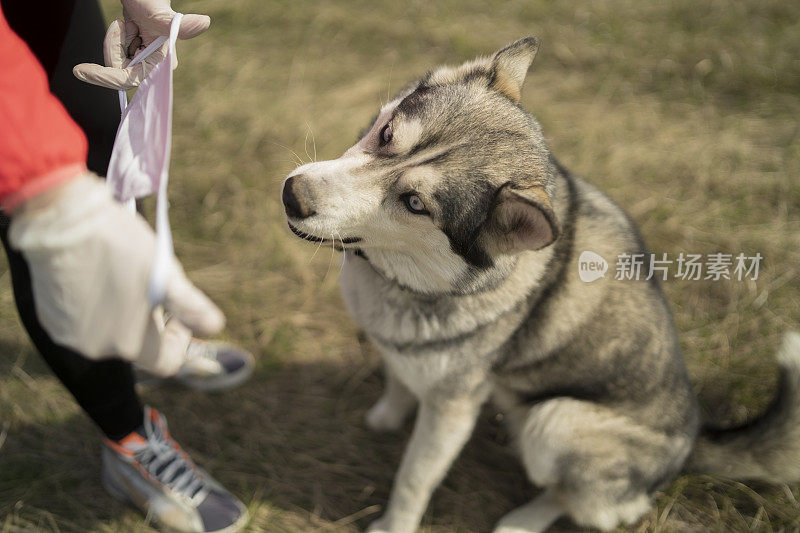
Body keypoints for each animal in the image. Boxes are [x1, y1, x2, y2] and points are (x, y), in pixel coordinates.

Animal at [282, 38, 800, 532]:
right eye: (387, 133)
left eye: (414, 203)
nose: (292, 194)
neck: (401, 279)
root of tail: (692, 444)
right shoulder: (405, 353)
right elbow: (397, 378)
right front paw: (386, 416)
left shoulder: (453, 408)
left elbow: (415, 478)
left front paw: (394, 526)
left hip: (556, 421)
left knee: (581, 501)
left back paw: (522, 521)